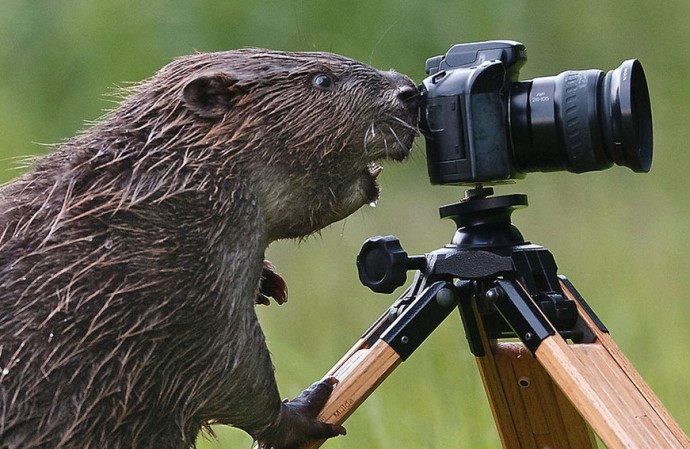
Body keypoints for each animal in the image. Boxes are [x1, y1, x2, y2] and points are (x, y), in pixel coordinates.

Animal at [0, 49, 414, 448]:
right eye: (322, 80)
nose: (408, 90)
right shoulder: (186, 273)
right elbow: (230, 366)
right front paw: (312, 404)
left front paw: (269, 284)